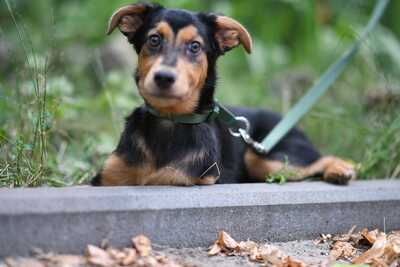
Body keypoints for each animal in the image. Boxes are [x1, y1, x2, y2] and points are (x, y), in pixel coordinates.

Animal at [91, 2, 356, 186]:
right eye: (154, 39)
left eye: (195, 46)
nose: (164, 77)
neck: (169, 122)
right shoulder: (107, 179)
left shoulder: (195, 179)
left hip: (265, 158)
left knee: (321, 157)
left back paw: (342, 169)